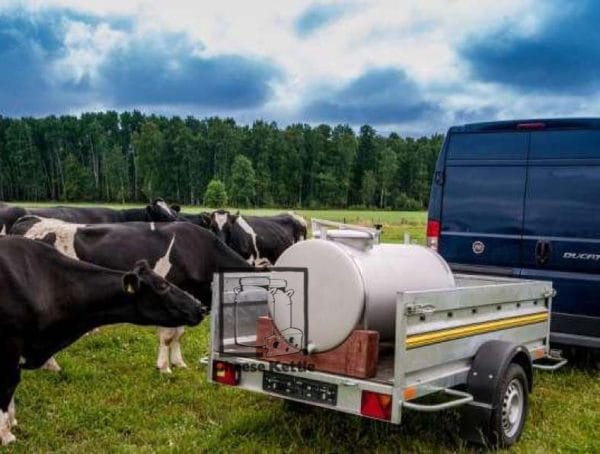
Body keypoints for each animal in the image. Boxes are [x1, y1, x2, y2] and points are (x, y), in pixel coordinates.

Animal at [0, 238, 204, 446]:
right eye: (162, 286)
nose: (200, 306)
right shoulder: (10, 346)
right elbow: (9, 386)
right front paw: (6, 435)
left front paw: (12, 421)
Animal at [11, 218, 251, 374]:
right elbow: (167, 336)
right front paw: (164, 367)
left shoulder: (188, 300)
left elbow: (178, 334)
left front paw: (178, 363)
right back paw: (52, 366)